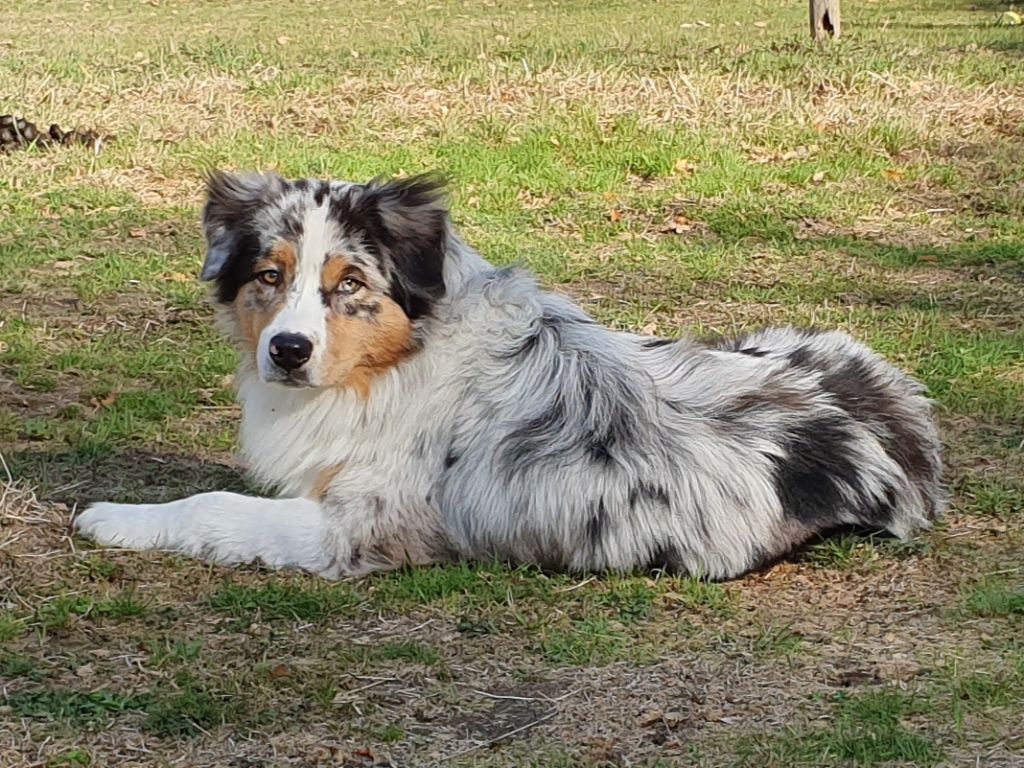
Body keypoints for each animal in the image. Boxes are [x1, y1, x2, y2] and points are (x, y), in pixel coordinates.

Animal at [75, 171, 946, 581]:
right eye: (269, 274)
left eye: (350, 282)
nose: (287, 350)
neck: (403, 359)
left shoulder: (362, 527)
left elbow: (213, 507)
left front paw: (115, 517)